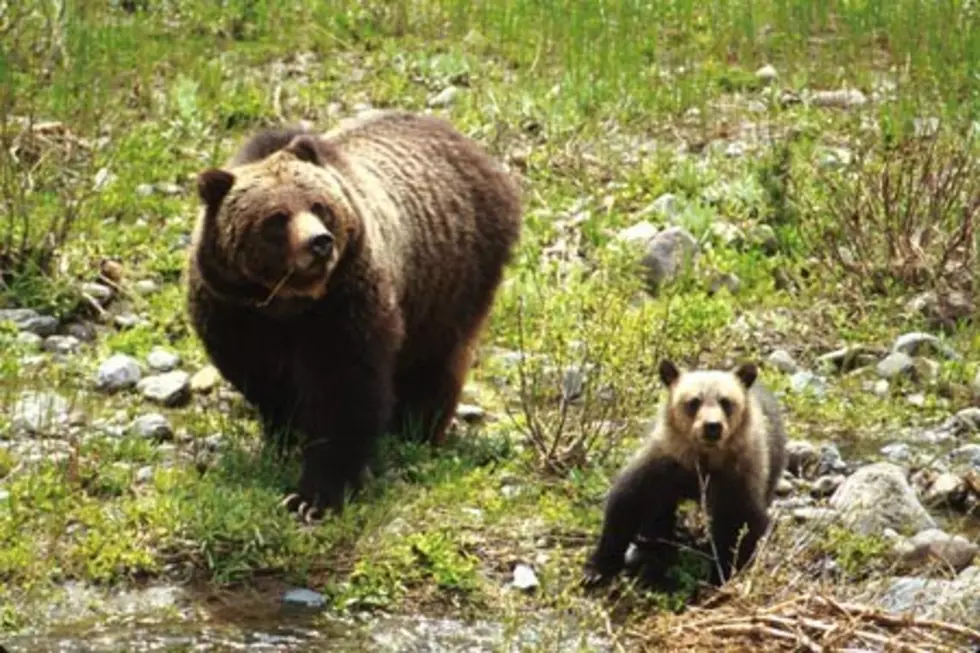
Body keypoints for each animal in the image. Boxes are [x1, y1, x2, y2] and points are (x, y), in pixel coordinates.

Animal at [184, 111, 520, 520]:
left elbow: (345, 393)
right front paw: (285, 437)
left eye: (319, 205)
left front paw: (316, 494)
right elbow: (265, 383)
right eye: (276, 219)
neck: (288, 303)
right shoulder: (234, 314)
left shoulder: (344, 307)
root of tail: (474, 150)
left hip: (451, 276)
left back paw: (416, 429)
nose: (319, 243)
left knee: (434, 361)